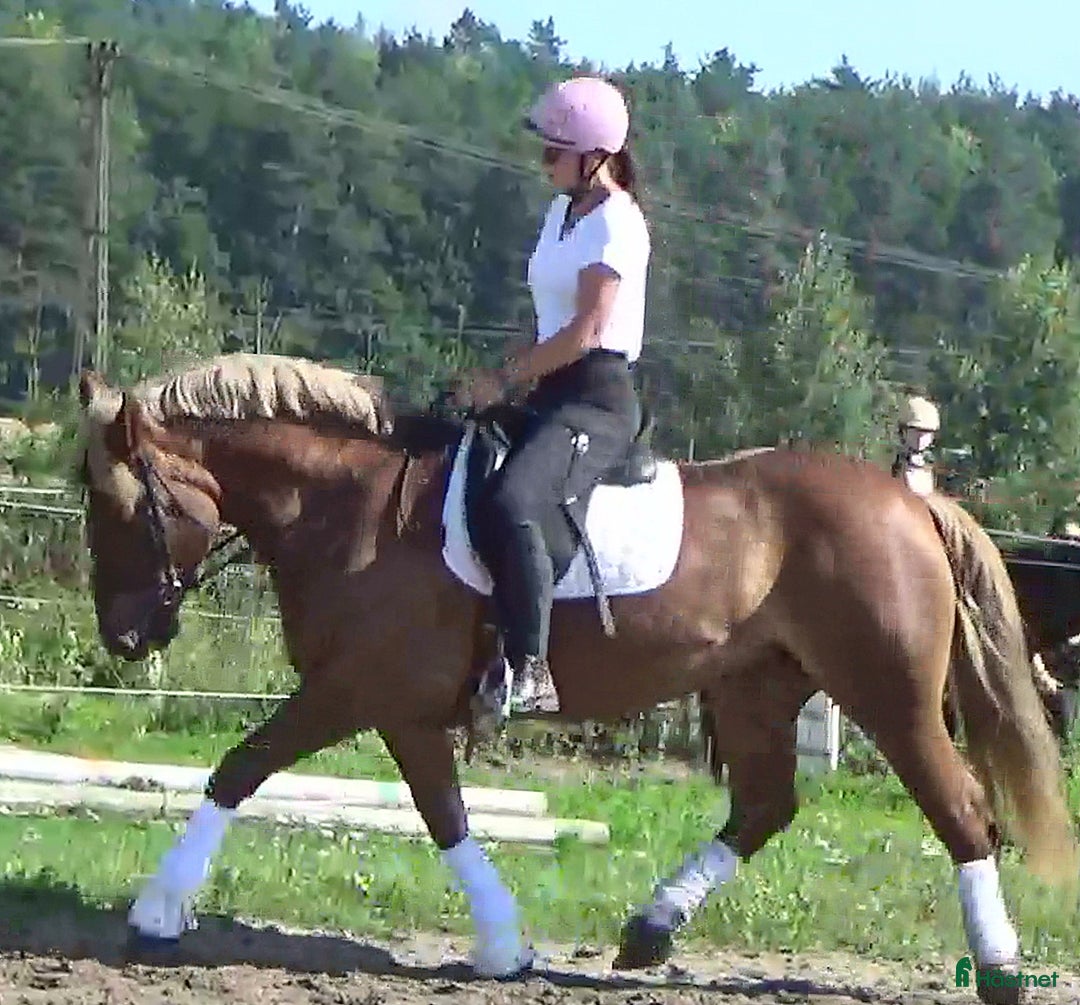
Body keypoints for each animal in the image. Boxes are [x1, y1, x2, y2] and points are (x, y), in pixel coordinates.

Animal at [75, 352, 1078, 1005]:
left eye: (118, 504)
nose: (125, 637)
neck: (350, 508)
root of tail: (909, 501)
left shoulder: (354, 689)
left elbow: (241, 767)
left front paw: (157, 911)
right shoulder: (403, 709)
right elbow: (445, 814)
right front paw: (503, 944)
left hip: (889, 695)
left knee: (962, 811)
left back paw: (999, 968)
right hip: (755, 686)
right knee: (765, 805)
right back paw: (649, 930)